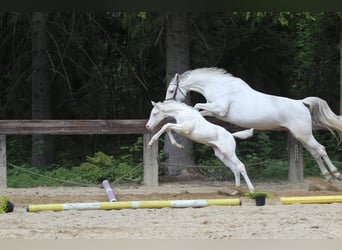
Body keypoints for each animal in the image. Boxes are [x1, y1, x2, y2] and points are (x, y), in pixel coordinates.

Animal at [164, 66, 342, 181]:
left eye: (171, 90)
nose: (167, 103)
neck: (218, 86)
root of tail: (302, 103)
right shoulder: (215, 111)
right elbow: (200, 110)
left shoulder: (220, 109)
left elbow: (197, 106)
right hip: (301, 135)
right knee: (315, 153)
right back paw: (327, 176)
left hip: (304, 134)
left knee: (321, 149)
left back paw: (335, 173)